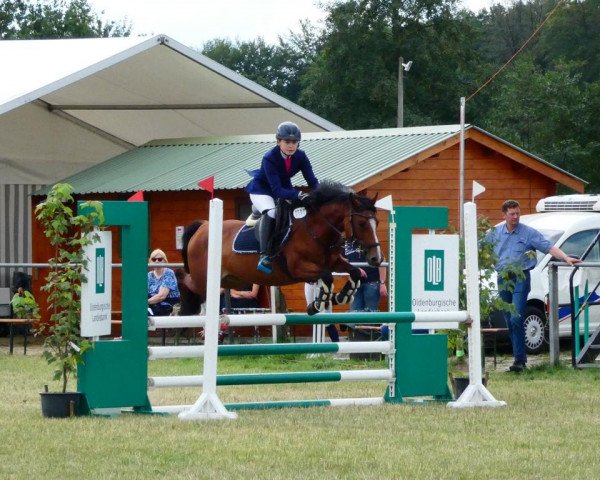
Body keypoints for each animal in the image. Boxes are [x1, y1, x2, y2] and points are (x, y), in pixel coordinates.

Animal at [179, 180, 384, 316]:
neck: (315, 230)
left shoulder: (334, 262)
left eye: (378, 222)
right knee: (189, 282)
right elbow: (326, 276)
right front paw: (318, 304)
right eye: (362, 223)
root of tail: (203, 226)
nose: (377, 259)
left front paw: (341, 296)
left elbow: (355, 272)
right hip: (203, 277)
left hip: (231, 279)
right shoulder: (298, 268)